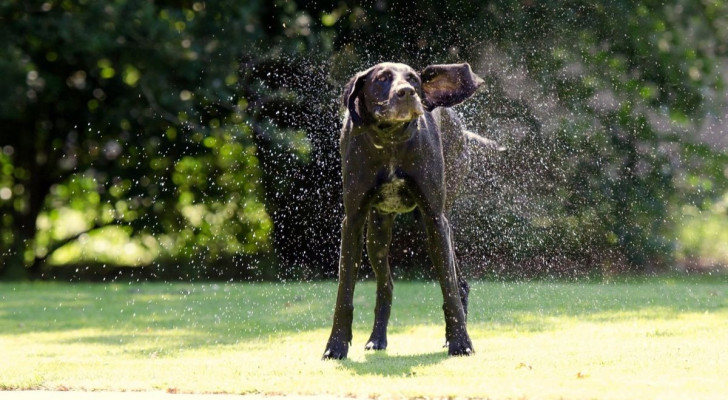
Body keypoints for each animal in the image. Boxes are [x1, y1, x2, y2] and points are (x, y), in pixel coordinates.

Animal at [322, 62, 492, 360]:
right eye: (382, 78)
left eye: (413, 79)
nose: (407, 92)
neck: (390, 139)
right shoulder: (353, 221)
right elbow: (345, 292)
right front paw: (336, 345)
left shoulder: (435, 218)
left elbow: (448, 288)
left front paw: (460, 342)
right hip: (376, 236)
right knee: (385, 286)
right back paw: (377, 339)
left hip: (436, 224)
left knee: (458, 283)